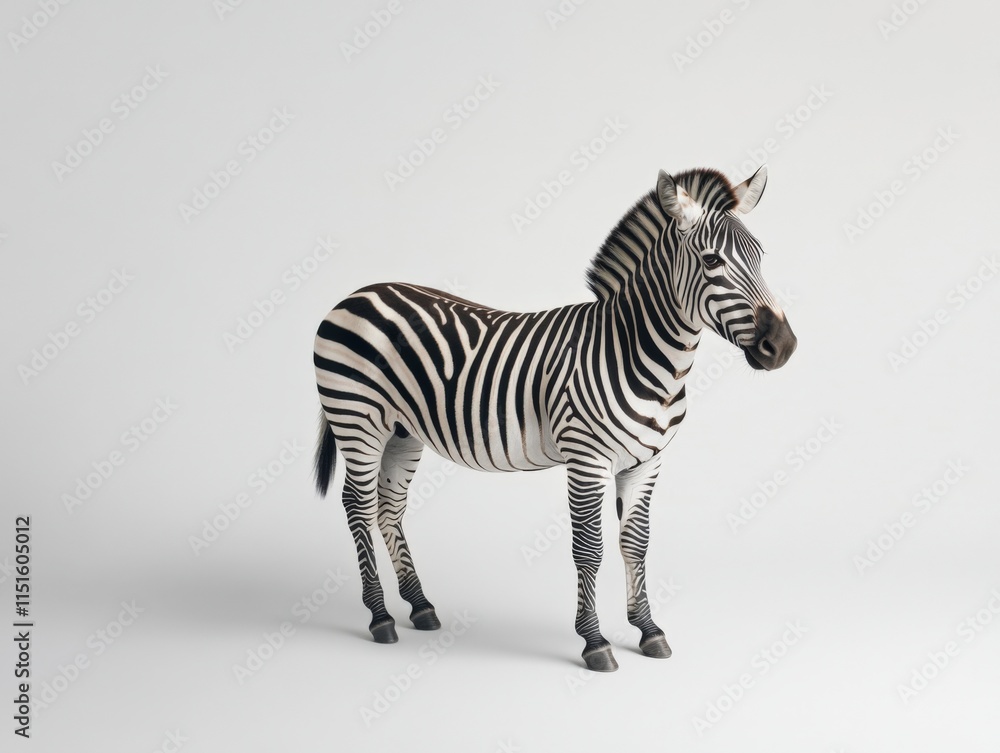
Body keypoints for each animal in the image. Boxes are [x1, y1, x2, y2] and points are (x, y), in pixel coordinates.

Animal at [313, 166, 797, 672]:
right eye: (711, 261)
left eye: (760, 258)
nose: (783, 346)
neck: (635, 352)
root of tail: (358, 293)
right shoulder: (587, 459)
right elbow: (589, 547)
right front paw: (595, 641)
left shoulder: (647, 461)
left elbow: (636, 542)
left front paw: (648, 631)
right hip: (357, 420)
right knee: (357, 505)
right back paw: (380, 617)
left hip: (402, 432)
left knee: (388, 507)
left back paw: (420, 607)